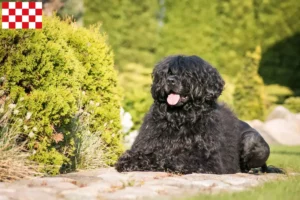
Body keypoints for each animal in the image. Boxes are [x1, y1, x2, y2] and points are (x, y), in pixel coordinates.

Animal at [116, 54, 280, 173]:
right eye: (167, 73)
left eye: (187, 74)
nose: (170, 80)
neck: (179, 118)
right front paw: (130, 161)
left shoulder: (205, 159)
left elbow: (172, 157)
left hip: (251, 139)